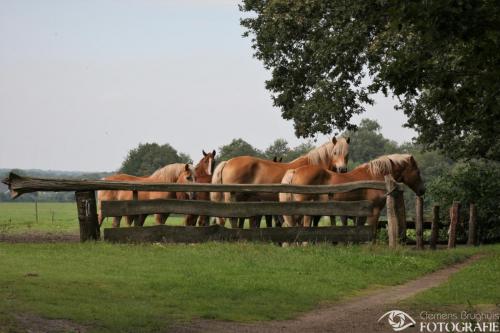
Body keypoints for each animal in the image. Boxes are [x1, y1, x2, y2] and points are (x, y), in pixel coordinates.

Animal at [280, 153, 424, 233]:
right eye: (418, 172)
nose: (422, 190)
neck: (374, 176)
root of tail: (295, 171)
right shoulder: (375, 210)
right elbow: (372, 230)